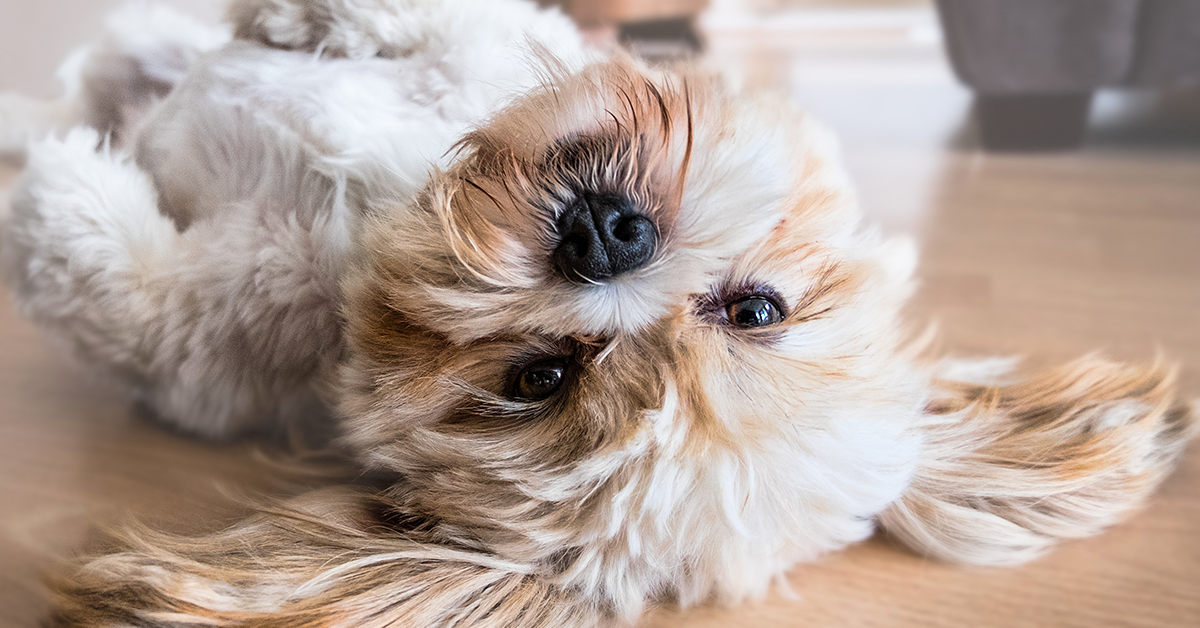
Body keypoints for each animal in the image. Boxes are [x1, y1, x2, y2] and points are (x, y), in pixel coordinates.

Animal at [0, 1, 1195, 628]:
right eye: (757, 309)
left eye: (539, 377)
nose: (606, 236)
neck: (374, 214)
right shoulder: (486, 59)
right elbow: (446, 33)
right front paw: (318, 16)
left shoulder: (205, 350)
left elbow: (118, 283)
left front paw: (60, 190)